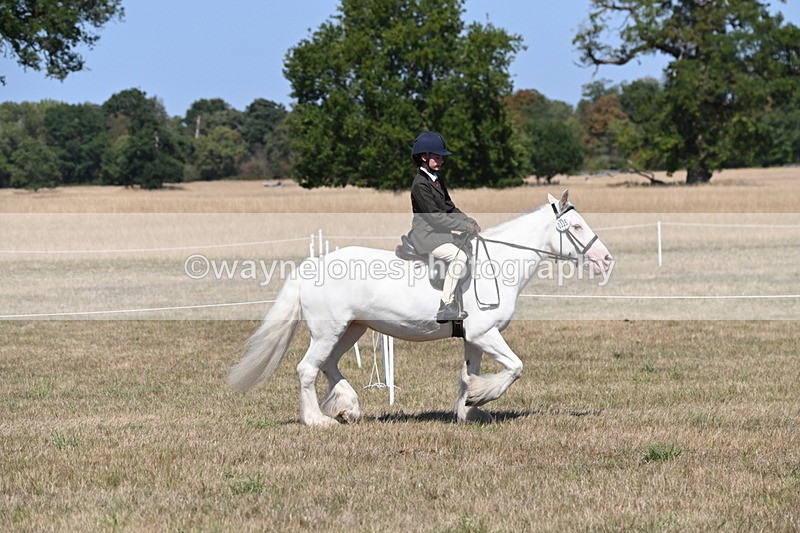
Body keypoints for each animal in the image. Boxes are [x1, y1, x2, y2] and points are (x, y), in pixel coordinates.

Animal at [228, 190, 613, 426]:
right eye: (576, 226)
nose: (606, 259)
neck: (498, 263)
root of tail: (312, 265)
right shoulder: (485, 334)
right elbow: (515, 368)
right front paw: (480, 398)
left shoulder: (473, 339)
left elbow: (468, 373)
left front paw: (469, 411)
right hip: (328, 331)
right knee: (308, 369)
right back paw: (317, 420)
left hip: (352, 329)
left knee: (329, 366)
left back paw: (349, 408)